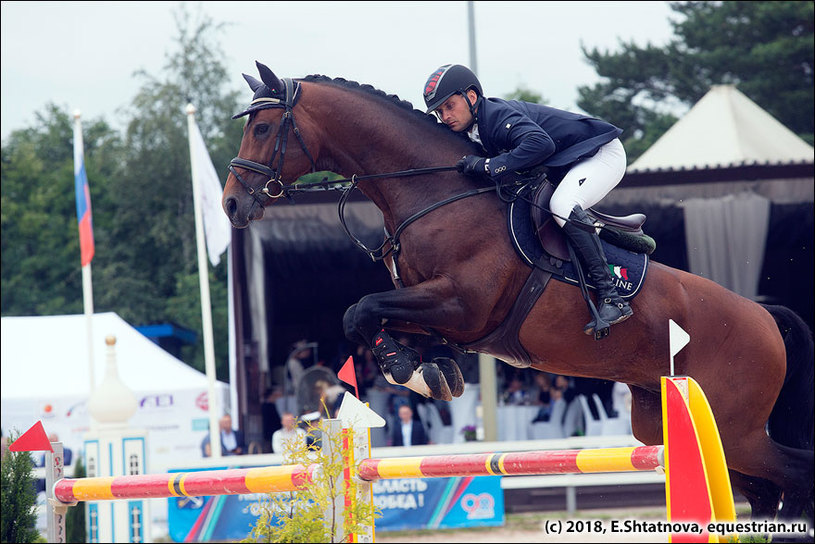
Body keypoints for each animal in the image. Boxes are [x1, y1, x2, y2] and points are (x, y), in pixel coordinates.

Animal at [223, 61, 815, 524]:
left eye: (265, 127)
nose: (232, 205)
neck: (434, 191)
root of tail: (766, 317)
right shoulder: (437, 309)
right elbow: (370, 319)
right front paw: (431, 371)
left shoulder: (462, 304)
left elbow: (360, 310)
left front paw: (412, 370)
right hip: (671, 423)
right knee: (766, 492)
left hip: (735, 429)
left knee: (793, 476)